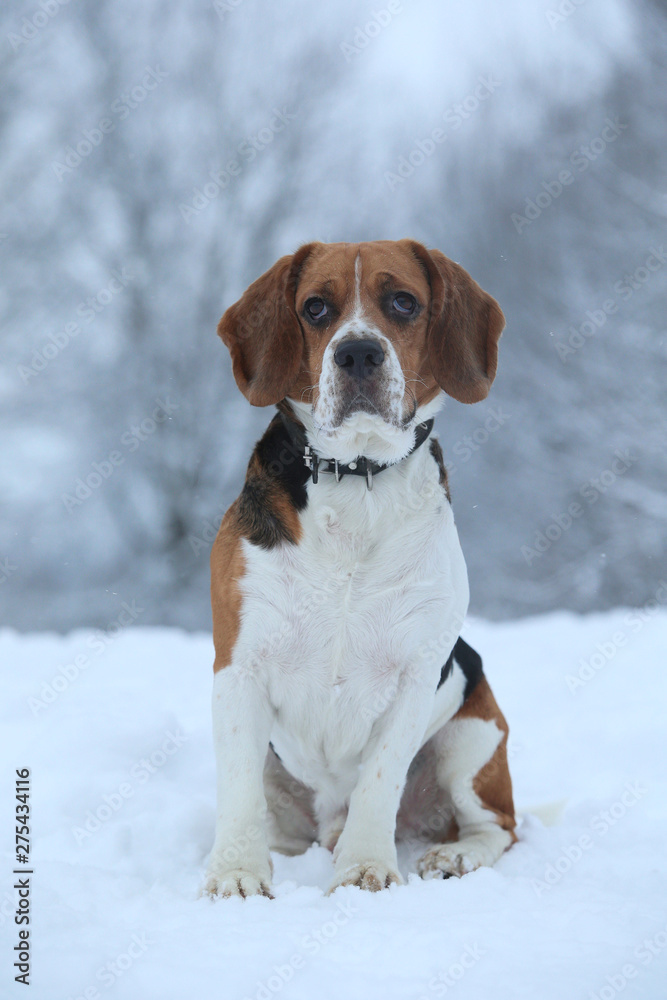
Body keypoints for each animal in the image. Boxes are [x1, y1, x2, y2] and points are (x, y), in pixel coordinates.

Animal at [204, 240, 516, 900]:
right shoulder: (238, 667)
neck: (358, 480)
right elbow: (238, 788)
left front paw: (366, 870)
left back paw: (453, 856)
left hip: (472, 736)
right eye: (315, 308)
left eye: (404, 302)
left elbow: (380, 781)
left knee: (499, 826)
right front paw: (237, 876)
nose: (357, 353)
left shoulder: (416, 675)